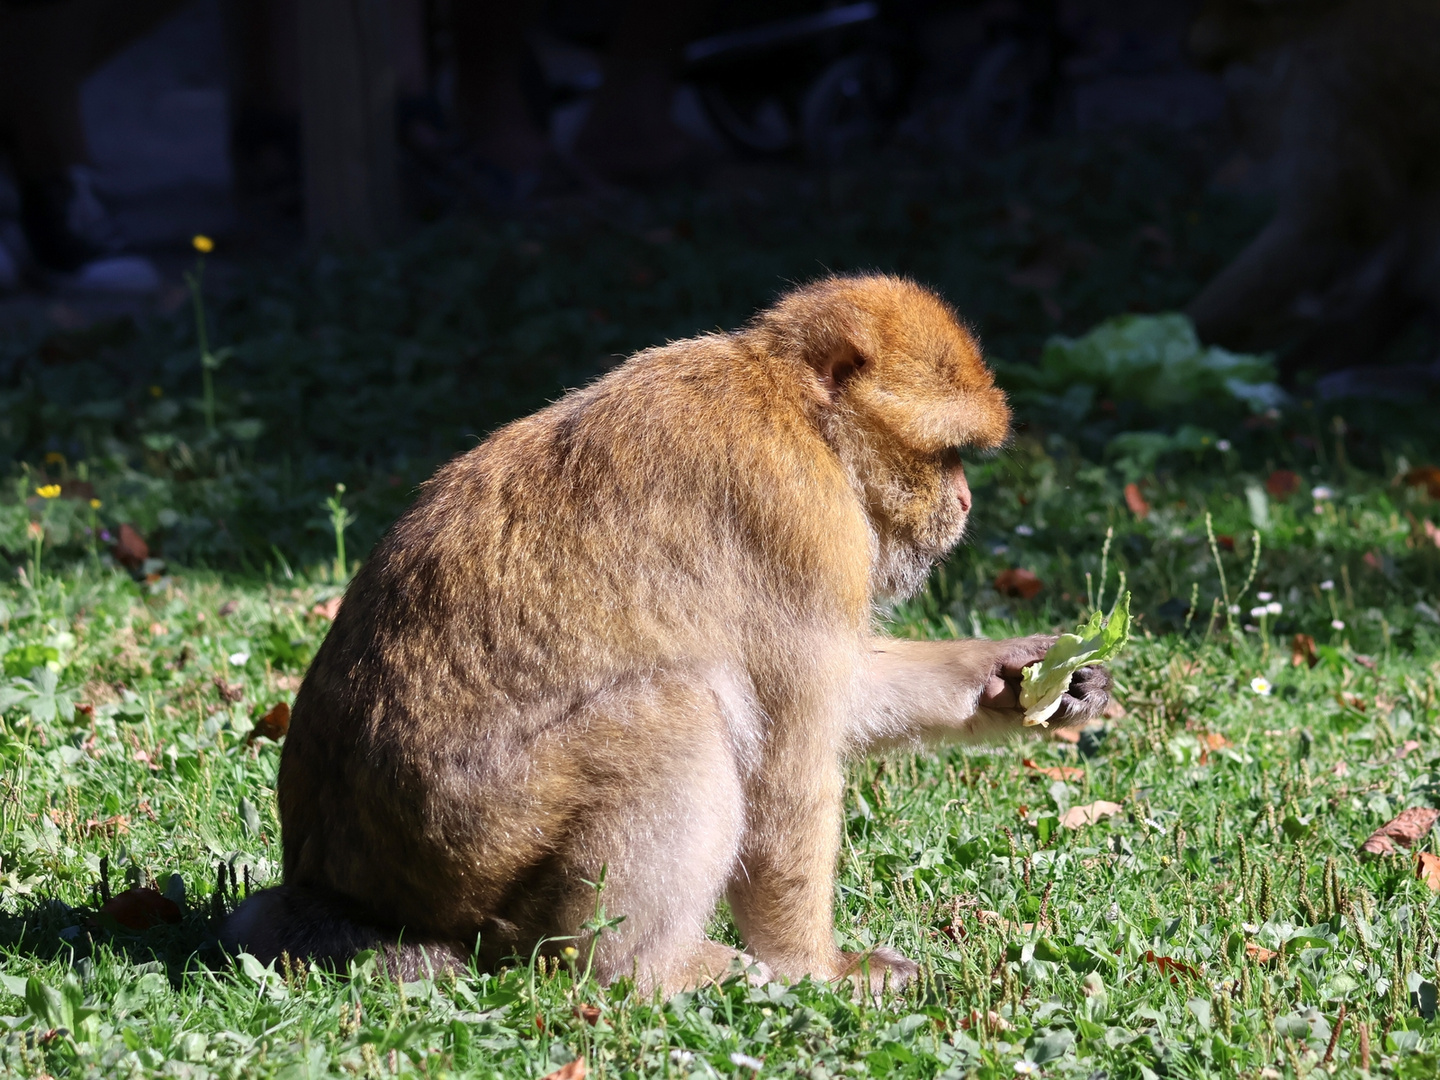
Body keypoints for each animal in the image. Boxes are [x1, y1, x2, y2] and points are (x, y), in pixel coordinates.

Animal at [221, 275, 1111, 996]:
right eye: (948, 455)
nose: (964, 504)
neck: (796, 410)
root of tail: (339, 887)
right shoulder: (804, 522)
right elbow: (787, 769)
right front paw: (819, 970)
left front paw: (1020, 677)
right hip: (483, 845)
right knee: (678, 714)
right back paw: (648, 969)